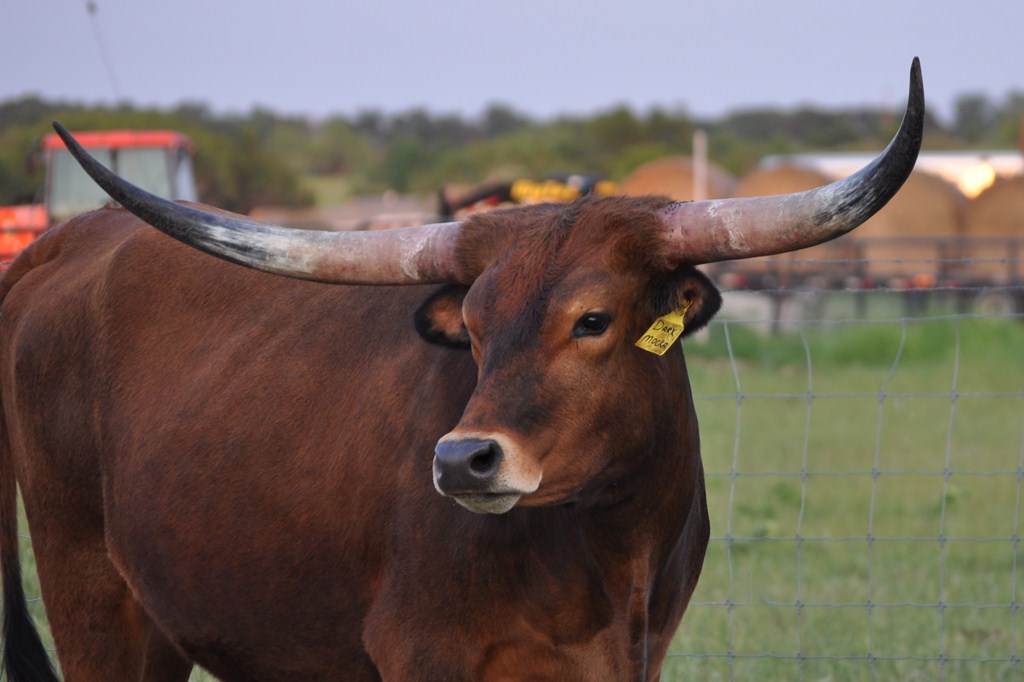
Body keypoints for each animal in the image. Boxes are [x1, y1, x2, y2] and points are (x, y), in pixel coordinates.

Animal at [1, 60, 922, 681]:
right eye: (472, 331)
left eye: (593, 320)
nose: (460, 460)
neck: (610, 555)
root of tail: (69, 239)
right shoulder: (424, 654)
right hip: (92, 598)